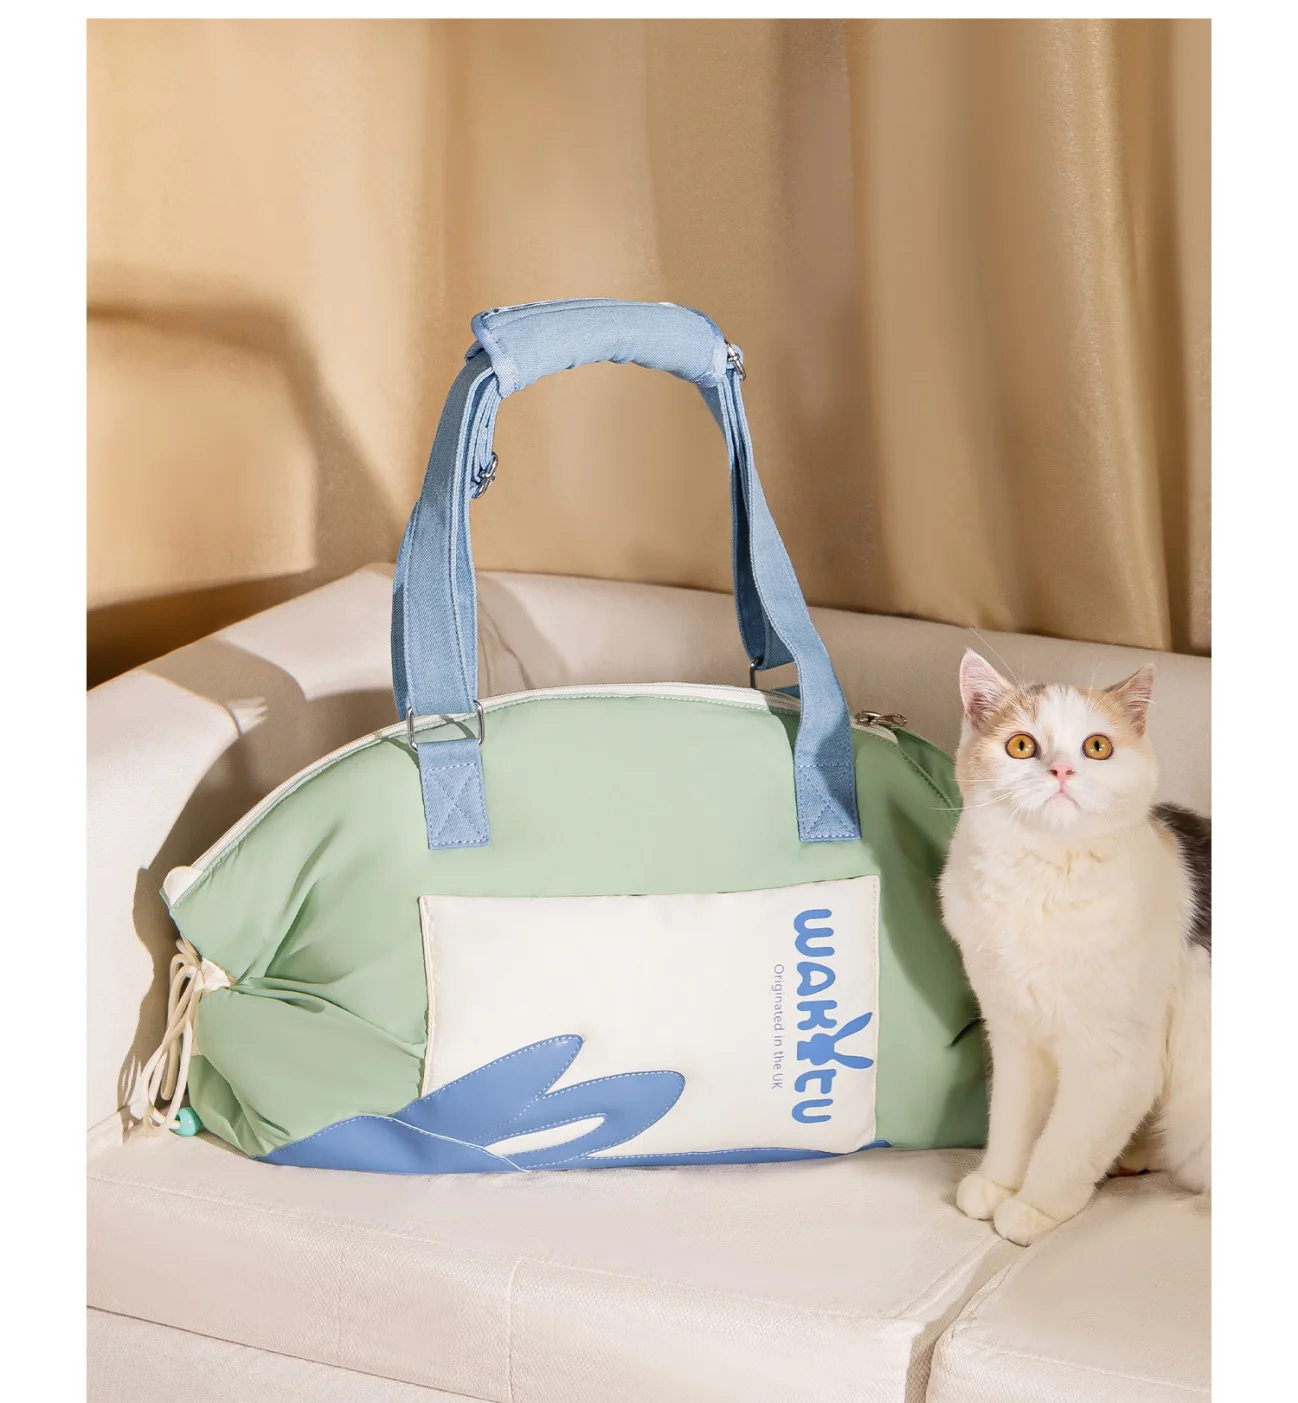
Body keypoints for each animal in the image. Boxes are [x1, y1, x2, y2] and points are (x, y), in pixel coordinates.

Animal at [938, 650, 1210, 1246]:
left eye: (1097, 746)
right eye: (1021, 746)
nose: (1062, 771)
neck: (1040, 881)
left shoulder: (1115, 1061)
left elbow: (1066, 1142)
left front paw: (1033, 1207)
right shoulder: (1014, 1036)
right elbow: (1013, 1120)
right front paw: (998, 1183)